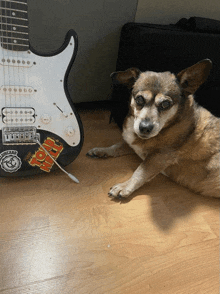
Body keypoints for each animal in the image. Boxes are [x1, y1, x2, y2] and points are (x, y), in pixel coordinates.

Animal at [87, 58, 219, 199]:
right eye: (139, 99)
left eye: (165, 104)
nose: (145, 128)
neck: (170, 124)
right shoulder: (132, 144)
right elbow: (117, 146)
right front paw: (102, 150)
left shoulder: (158, 158)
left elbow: (139, 172)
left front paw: (124, 186)